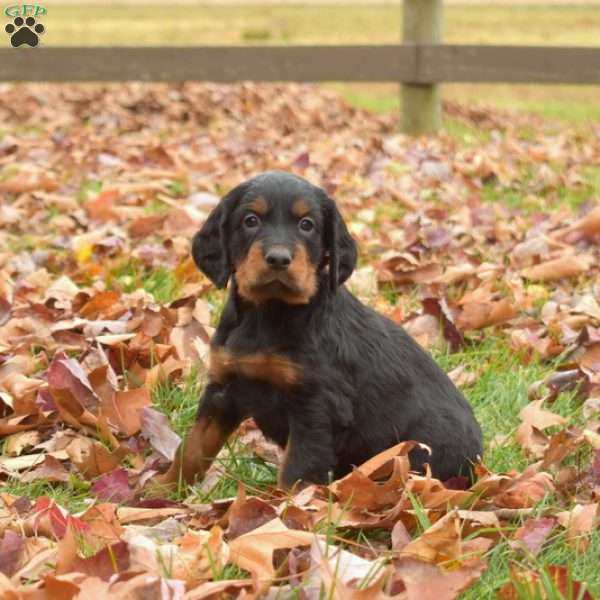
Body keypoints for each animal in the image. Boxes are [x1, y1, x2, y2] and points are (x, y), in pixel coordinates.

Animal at [156, 171, 482, 490]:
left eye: (307, 225)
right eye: (251, 220)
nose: (278, 258)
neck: (269, 312)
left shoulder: (317, 406)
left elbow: (296, 472)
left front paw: (284, 508)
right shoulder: (224, 387)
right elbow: (193, 448)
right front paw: (163, 489)